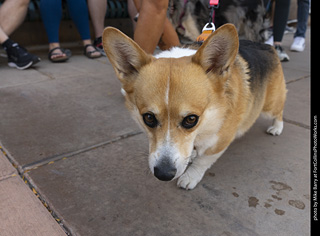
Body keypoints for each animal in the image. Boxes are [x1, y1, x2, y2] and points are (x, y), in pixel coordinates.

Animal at [103, 24, 288, 190]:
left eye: (191, 119)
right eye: (148, 117)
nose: (163, 174)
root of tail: (266, 46)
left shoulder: (220, 140)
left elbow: (203, 160)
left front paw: (190, 176)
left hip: (269, 106)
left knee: (279, 111)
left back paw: (277, 128)